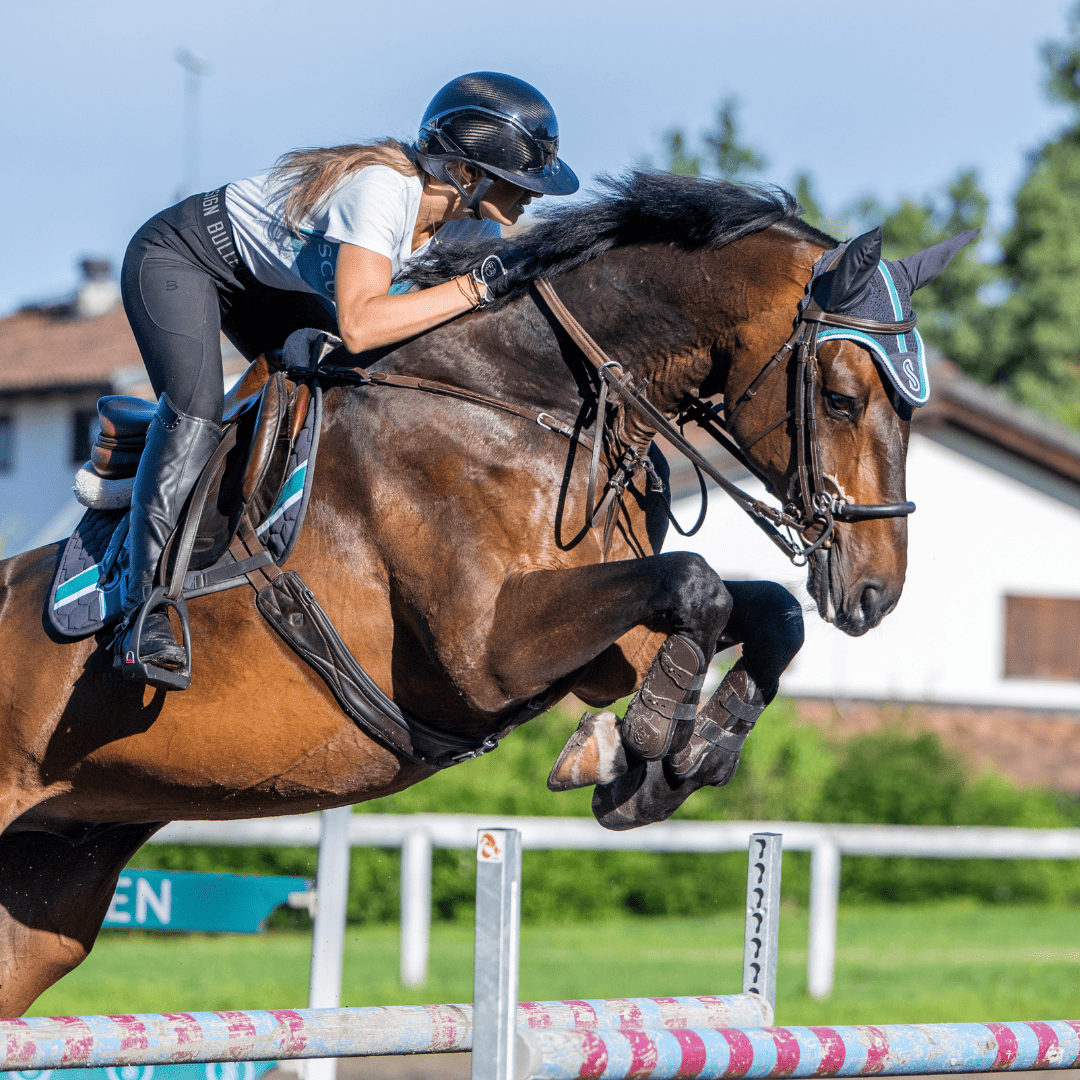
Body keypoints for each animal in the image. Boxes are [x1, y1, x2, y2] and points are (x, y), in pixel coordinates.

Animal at [0, 172, 956, 1016]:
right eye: (842, 397)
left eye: (912, 409)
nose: (875, 591)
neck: (522, 398)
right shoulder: (488, 653)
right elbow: (698, 584)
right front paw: (637, 746)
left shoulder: (602, 640)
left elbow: (759, 609)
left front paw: (684, 752)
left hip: (51, 888)